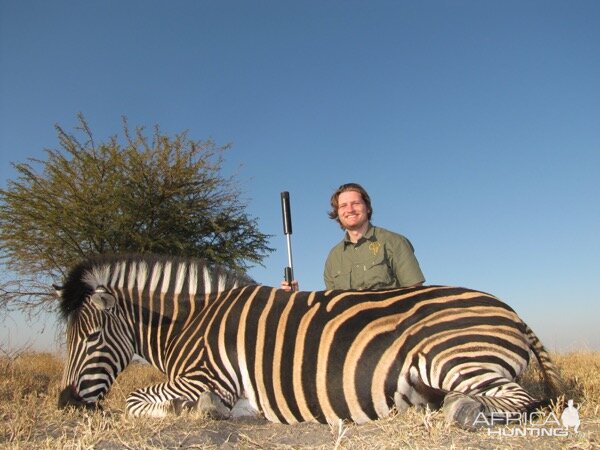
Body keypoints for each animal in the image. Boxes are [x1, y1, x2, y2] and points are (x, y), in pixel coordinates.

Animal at [54, 251, 564, 428]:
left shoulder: (207, 376)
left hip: (451, 356)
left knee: (519, 400)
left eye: (92, 337)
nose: (64, 403)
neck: (190, 323)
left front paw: (198, 410)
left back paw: (458, 411)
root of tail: (511, 310)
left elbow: (135, 400)